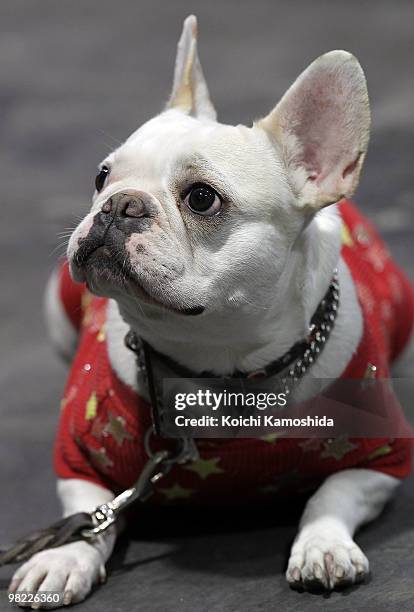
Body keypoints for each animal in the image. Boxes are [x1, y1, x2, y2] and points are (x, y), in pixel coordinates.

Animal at [8, 14, 412, 608]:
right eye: (102, 177)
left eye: (202, 198)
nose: (119, 205)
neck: (219, 368)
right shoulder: (79, 460)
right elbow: (89, 515)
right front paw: (61, 558)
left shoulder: (381, 459)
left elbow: (332, 495)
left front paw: (322, 546)